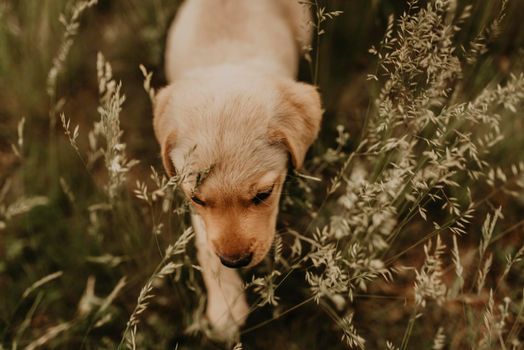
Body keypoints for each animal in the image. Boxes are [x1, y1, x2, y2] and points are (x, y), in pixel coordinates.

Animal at [154, 0, 322, 340]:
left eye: (263, 195)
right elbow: (207, 248)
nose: (235, 261)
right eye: (197, 199)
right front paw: (225, 306)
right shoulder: (200, 215)